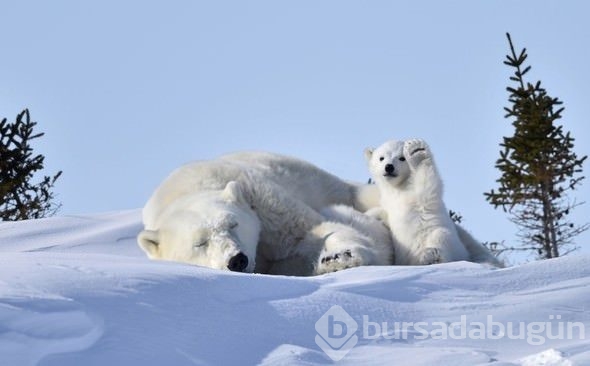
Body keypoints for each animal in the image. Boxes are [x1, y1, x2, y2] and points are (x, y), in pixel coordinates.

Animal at [136, 151, 390, 274]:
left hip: (330, 185)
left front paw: (340, 257)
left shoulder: (261, 201)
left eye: (233, 224)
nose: (237, 260)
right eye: (200, 243)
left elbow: (311, 230)